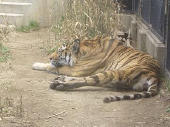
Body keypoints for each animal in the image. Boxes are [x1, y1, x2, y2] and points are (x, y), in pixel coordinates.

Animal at [32, 35, 161, 103]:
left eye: (59, 51)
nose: (49, 57)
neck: (84, 50)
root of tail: (154, 74)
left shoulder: (76, 69)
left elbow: (54, 66)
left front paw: (36, 64)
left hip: (113, 72)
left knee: (87, 80)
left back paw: (59, 84)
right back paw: (61, 79)